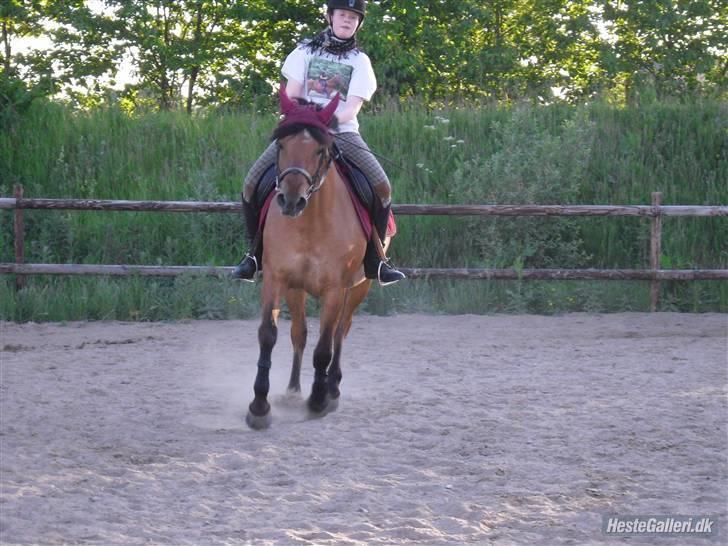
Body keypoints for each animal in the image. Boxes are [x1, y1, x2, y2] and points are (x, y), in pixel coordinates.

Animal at [246, 89, 381, 430]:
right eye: (281, 145)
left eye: (320, 150)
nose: (291, 201)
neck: (310, 223)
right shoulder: (276, 279)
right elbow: (269, 335)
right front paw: (259, 406)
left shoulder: (335, 289)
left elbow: (324, 348)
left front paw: (318, 401)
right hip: (297, 289)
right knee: (300, 334)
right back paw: (293, 390)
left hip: (359, 288)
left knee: (340, 334)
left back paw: (331, 389)